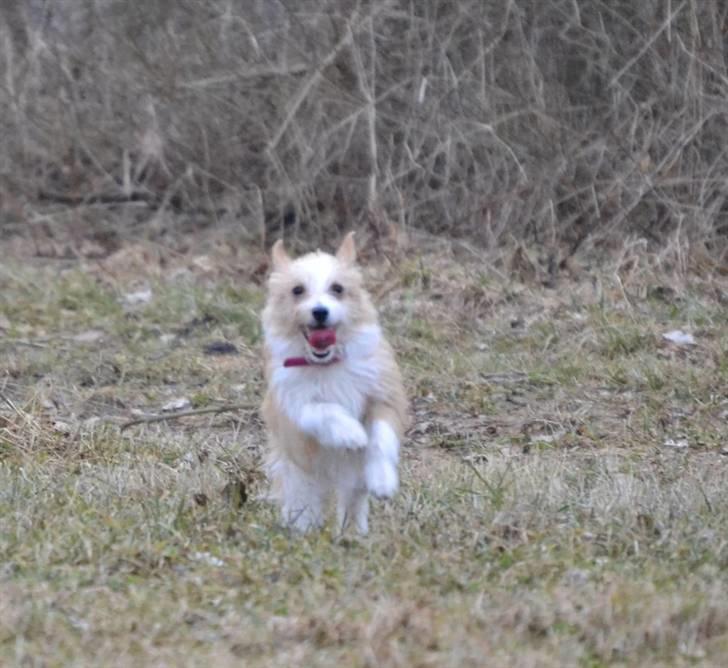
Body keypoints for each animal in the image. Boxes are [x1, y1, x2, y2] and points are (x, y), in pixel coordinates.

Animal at [262, 232, 410, 536]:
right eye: (297, 290)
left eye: (338, 288)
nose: (320, 311)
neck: (327, 364)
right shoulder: (293, 403)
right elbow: (323, 410)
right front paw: (350, 433)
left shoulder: (383, 396)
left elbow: (381, 437)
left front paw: (382, 480)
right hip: (299, 478)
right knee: (303, 506)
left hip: (351, 483)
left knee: (352, 502)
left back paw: (353, 534)